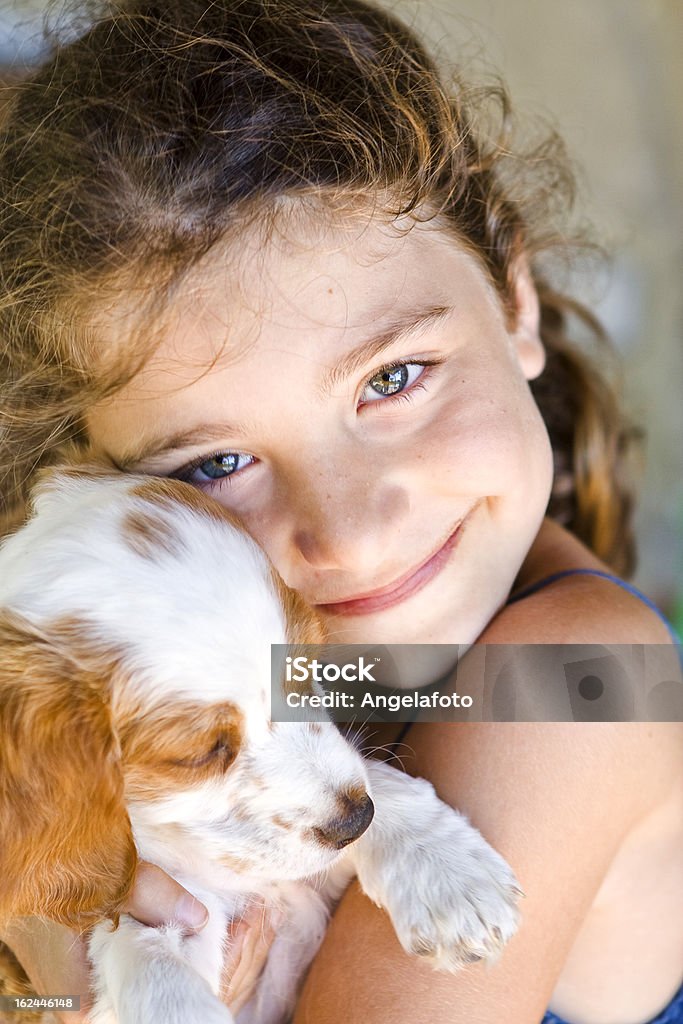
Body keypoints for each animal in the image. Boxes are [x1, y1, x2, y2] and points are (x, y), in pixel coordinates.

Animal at [0, 466, 520, 1024]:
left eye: (305, 664)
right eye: (200, 754)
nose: (355, 821)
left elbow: (371, 775)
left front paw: (450, 874)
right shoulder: (168, 903)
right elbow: (146, 950)